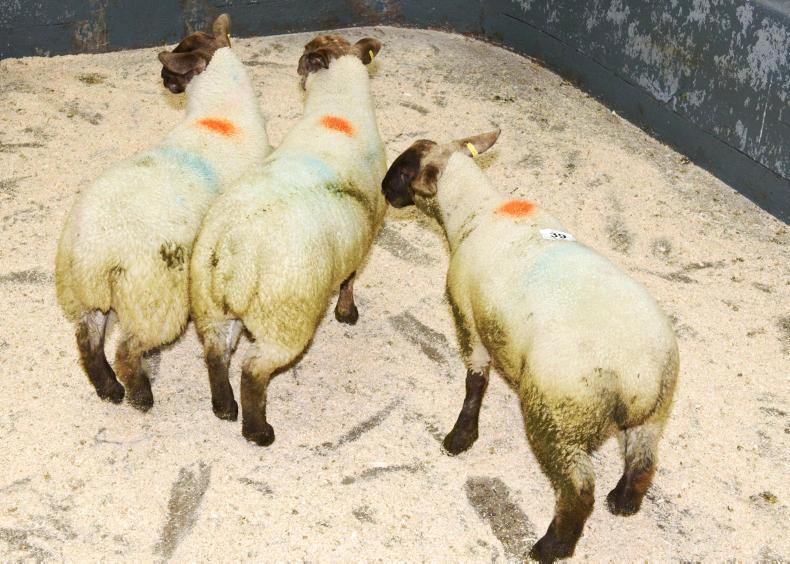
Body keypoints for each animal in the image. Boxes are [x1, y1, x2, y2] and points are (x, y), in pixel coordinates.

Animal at [55, 14, 272, 411]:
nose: (162, 78)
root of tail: (95, 255)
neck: (221, 116)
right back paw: (140, 395)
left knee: (87, 343)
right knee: (126, 352)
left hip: (85, 297)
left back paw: (109, 390)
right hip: (153, 304)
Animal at [189, 34, 386, 446]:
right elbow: (349, 280)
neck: (338, 112)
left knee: (216, 355)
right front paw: (347, 313)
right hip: (283, 321)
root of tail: (231, 248)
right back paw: (258, 431)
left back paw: (224, 408)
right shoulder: (365, 238)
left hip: (211, 308)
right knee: (253, 371)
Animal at [381, 129, 679, 562]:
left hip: (558, 417)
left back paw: (552, 546)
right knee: (643, 461)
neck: (476, 210)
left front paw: (461, 436)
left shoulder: (467, 315)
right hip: (654, 415)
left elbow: (475, 382)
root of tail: (637, 375)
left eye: (404, 170)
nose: (384, 189)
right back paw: (624, 502)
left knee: (578, 489)